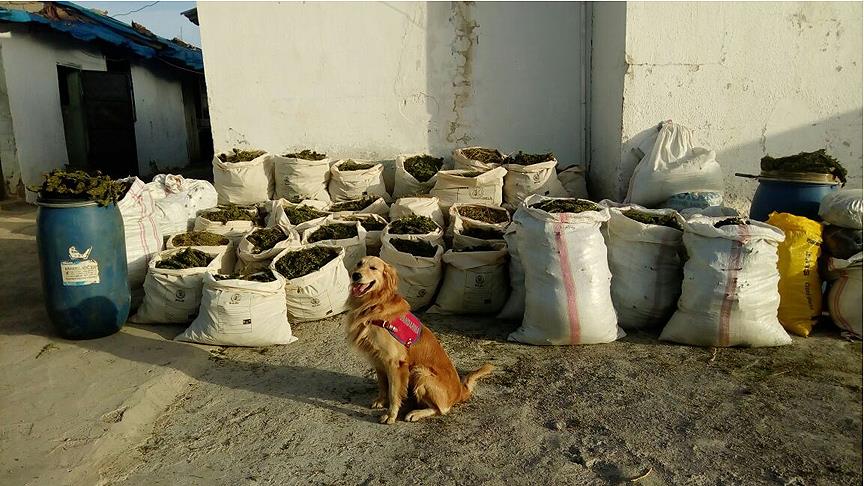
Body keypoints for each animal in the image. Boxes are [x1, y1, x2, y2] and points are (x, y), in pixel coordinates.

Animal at [344, 256, 492, 424]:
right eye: (359, 264)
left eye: (373, 268)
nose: (356, 275)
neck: (374, 304)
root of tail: (460, 391)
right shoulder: (378, 359)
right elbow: (383, 385)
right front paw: (381, 401)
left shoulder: (395, 363)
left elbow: (394, 392)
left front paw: (391, 415)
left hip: (420, 372)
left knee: (441, 409)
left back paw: (415, 413)